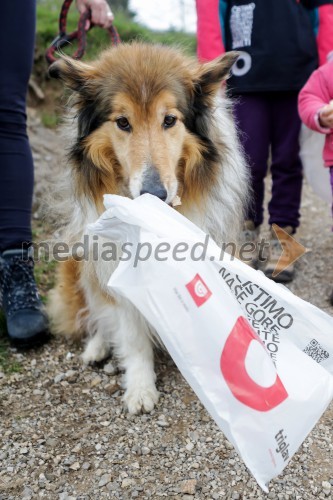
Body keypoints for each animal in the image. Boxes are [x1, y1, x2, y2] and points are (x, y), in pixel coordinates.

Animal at [48, 43, 248, 412]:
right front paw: (140, 388)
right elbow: (132, 336)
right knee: (95, 311)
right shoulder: (113, 267)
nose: (154, 194)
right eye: (122, 122)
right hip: (79, 263)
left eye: (169, 120)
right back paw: (96, 347)